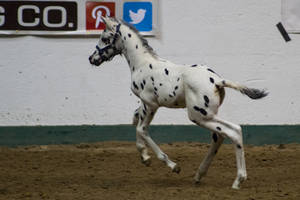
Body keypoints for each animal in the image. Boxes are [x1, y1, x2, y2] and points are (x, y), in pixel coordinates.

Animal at [88, 16, 268, 189]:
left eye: (104, 38)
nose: (92, 58)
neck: (142, 64)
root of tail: (218, 80)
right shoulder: (144, 104)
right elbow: (136, 120)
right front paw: (144, 156)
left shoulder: (151, 104)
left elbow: (142, 129)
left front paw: (170, 165)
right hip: (208, 115)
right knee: (219, 136)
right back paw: (199, 175)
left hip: (199, 115)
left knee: (234, 131)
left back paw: (238, 180)